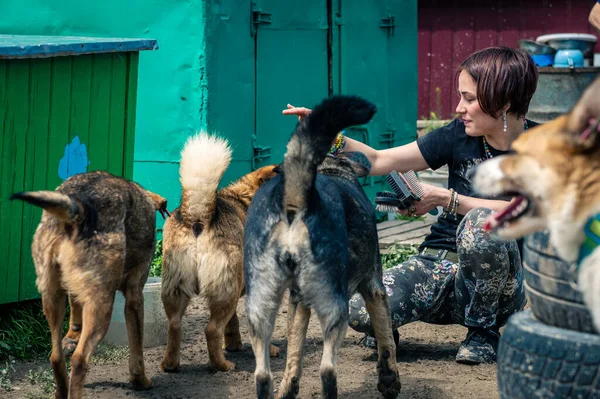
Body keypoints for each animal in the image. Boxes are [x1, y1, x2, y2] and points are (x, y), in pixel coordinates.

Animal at [11, 172, 166, 399]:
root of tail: (80, 205)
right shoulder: (135, 297)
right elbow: (137, 349)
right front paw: (140, 381)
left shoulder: (75, 293)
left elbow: (75, 318)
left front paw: (72, 336)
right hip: (103, 306)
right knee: (79, 360)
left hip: (52, 298)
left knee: (55, 356)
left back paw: (61, 390)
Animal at [159, 133, 282, 374]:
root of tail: (198, 214)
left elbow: (233, 323)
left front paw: (234, 344)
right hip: (226, 291)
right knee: (212, 329)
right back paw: (222, 365)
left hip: (179, 288)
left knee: (175, 325)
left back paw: (170, 364)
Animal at [241, 95, 400, 398]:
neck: (330, 169)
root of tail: (298, 198)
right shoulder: (374, 287)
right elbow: (386, 337)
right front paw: (389, 379)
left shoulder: (298, 300)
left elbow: (294, 354)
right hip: (336, 308)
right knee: (327, 370)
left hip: (260, 306)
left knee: (262, 374)